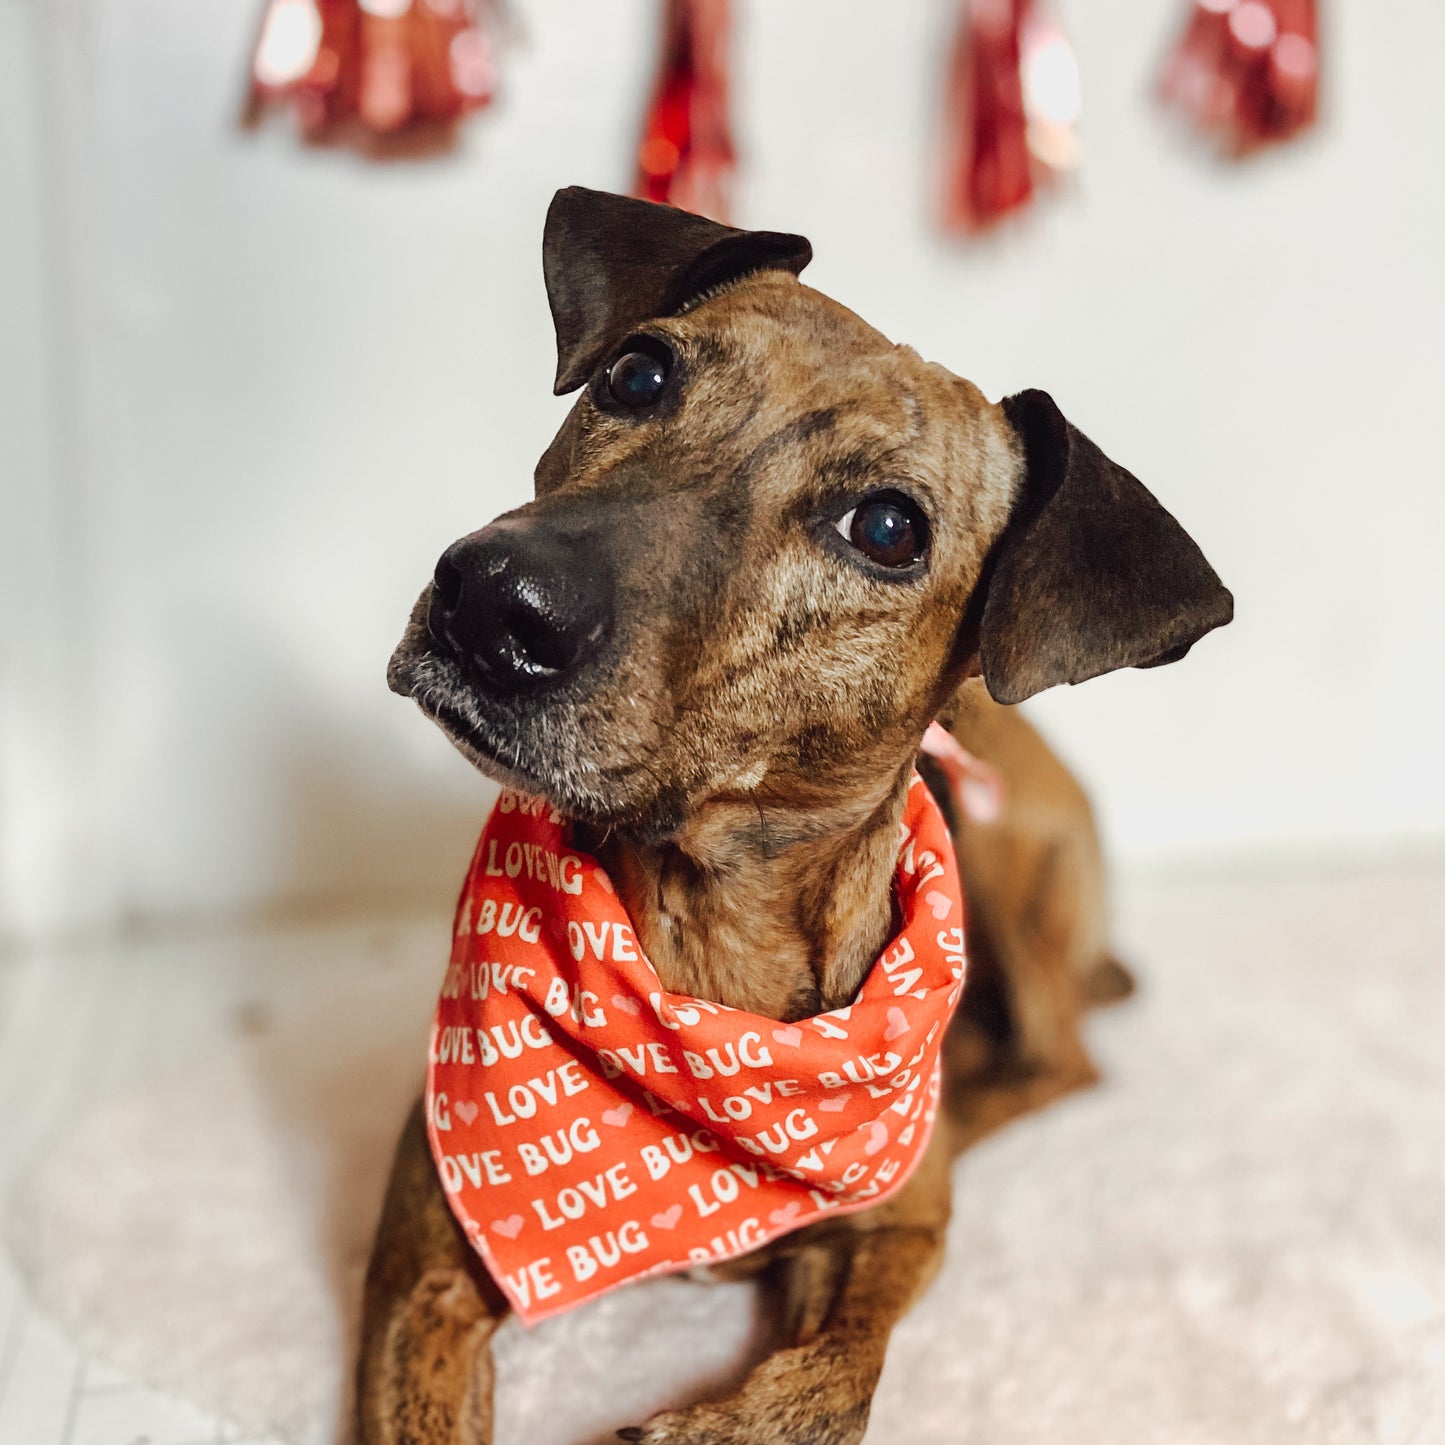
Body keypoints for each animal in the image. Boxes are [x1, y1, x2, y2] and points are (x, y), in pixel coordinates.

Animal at [364, 186, 1231, 1439]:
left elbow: (835, 1381)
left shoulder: (898, 1235)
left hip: (1010, 856)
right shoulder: (424, 1269)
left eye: (887, 528)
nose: (496, 601)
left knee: (1062, 1054)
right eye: (635, 374)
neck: (707, 933)